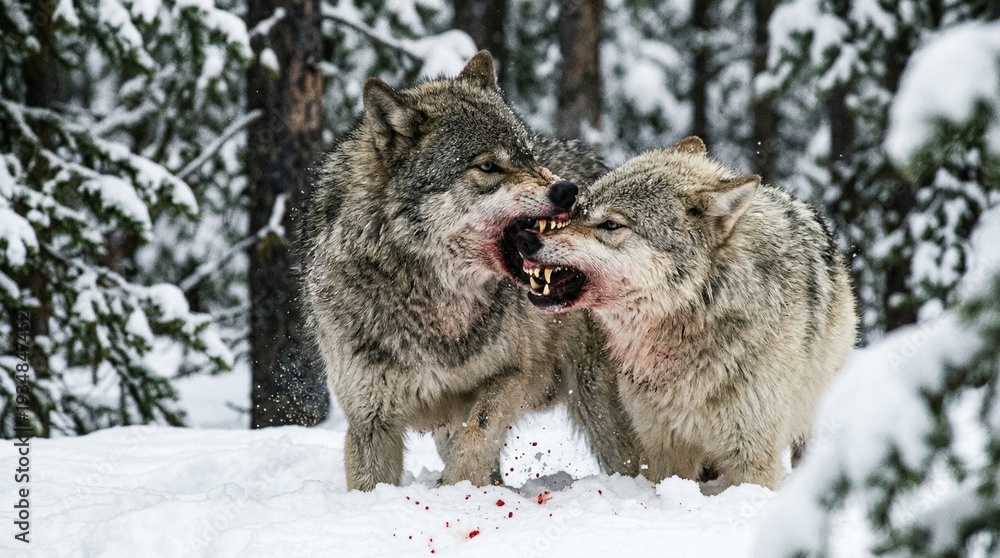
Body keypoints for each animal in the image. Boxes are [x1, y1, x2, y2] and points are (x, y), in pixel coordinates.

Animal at [302, 51, 641, 491]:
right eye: (488, 166)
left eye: (529, 154)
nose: (569, 191)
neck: (432, 307)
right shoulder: (369, 419)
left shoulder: (507, 378)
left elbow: (474, 445)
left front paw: (454, 494)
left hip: (600, 403)